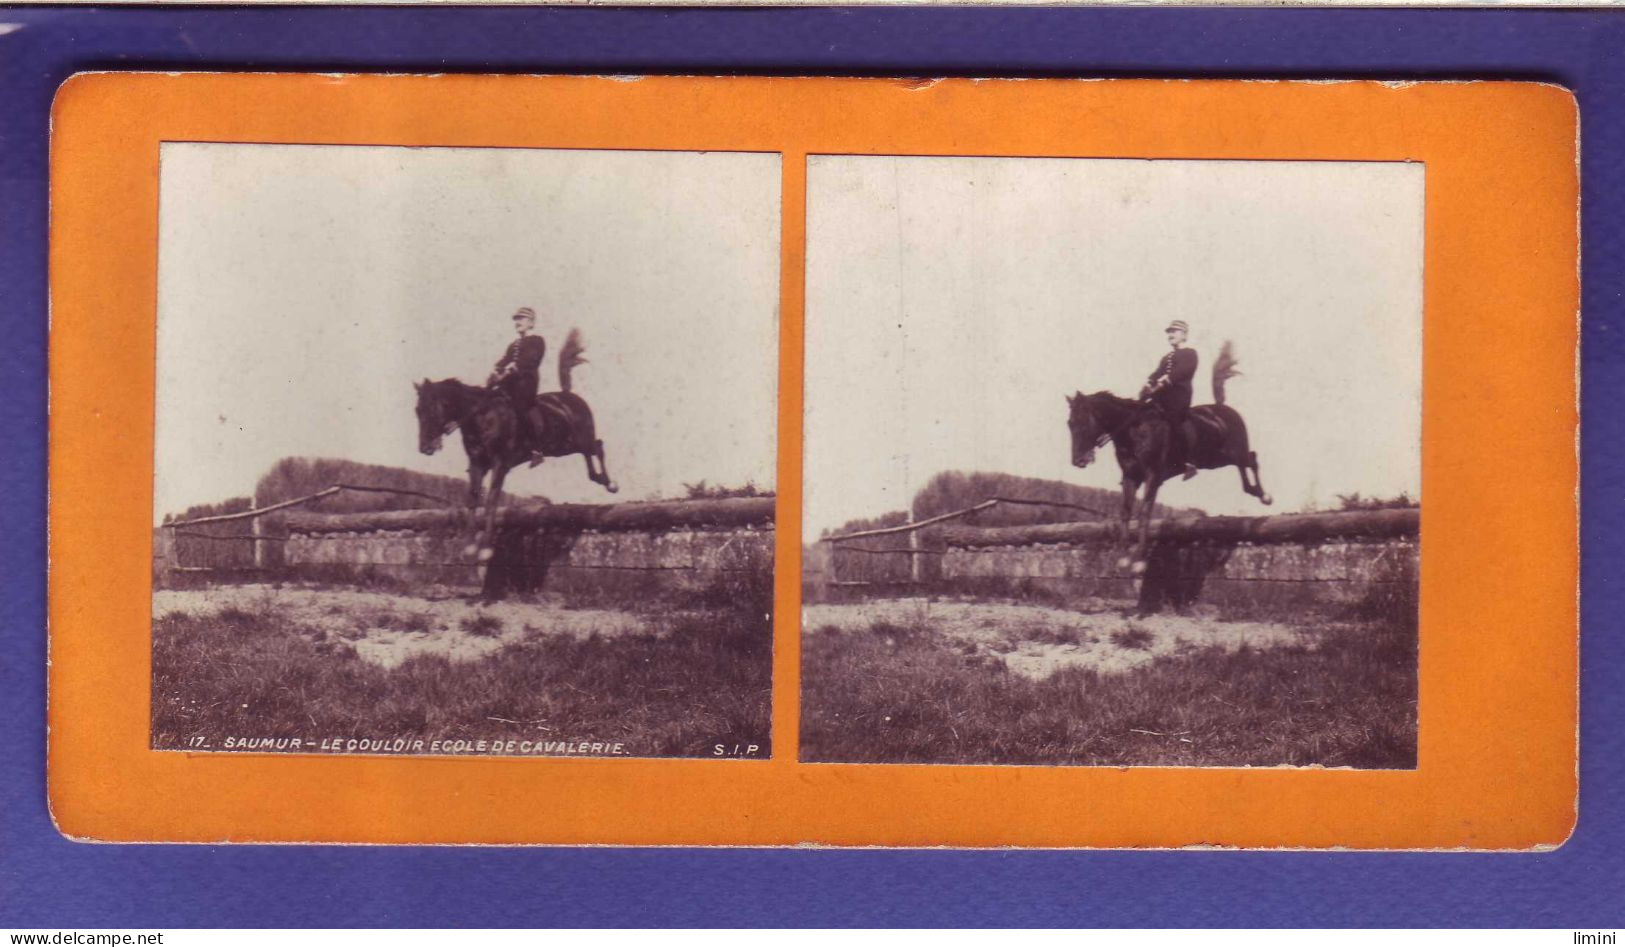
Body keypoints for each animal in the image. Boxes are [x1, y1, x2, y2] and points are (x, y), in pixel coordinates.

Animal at [416, 328, 617, 552]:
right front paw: (469, 543)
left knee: (597, 447)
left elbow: (492, 500)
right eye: (417, 411)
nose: (425, 448)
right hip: (563, 447)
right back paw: (599, 478)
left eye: (431, 409)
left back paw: (609, 483)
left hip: (579, 439)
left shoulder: (500, 464)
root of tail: (568, 396)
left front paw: (485, 546)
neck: (482, 417)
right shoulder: (477, 464)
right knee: (590, 452)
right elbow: (473, 499)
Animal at [1066, 344, 1267, 575]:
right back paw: (1255, 491)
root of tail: (1222, 408)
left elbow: (1144, 513)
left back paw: (1264, 495)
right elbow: (1126, 512)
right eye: (1069, 423)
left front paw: (1139, 560)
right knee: (1246, 464)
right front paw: (1123, 557)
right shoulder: (1130, 477)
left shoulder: (1153, 476)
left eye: (1082, 422)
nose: (1078, 460)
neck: (1134, 430)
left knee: (1251, 459)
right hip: (1215, 460)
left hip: (1232, 452)